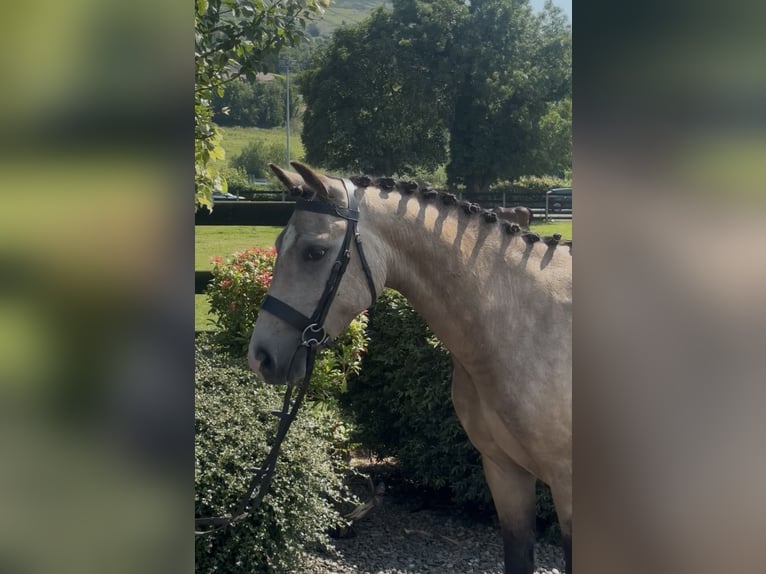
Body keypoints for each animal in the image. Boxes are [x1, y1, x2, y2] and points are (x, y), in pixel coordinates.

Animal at [248, 162, 572, 574]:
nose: (260, 356)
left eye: (315, 252)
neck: (524, 318)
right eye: (278, 245)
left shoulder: (568, 486)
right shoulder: (505, 473)